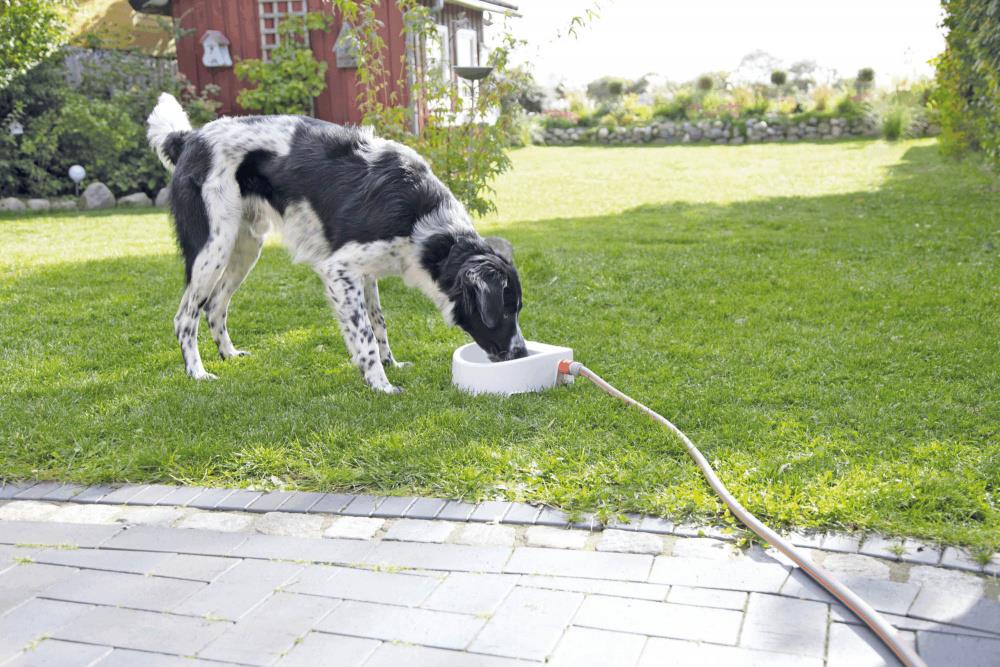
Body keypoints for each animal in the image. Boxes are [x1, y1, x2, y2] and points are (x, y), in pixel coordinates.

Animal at [148, 94, 528, 396]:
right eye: (506, 309)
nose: (522, 354)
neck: (425, 223)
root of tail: (190, 138)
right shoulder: (339, 268)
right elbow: (364, 334)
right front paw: (380, 384)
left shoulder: (366, 272)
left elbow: (377, 322)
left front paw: (390, 364)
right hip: (213, 247)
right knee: (185, 317)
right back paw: (197, 372)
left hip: (245, 246)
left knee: (214, 305)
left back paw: (229, 355)